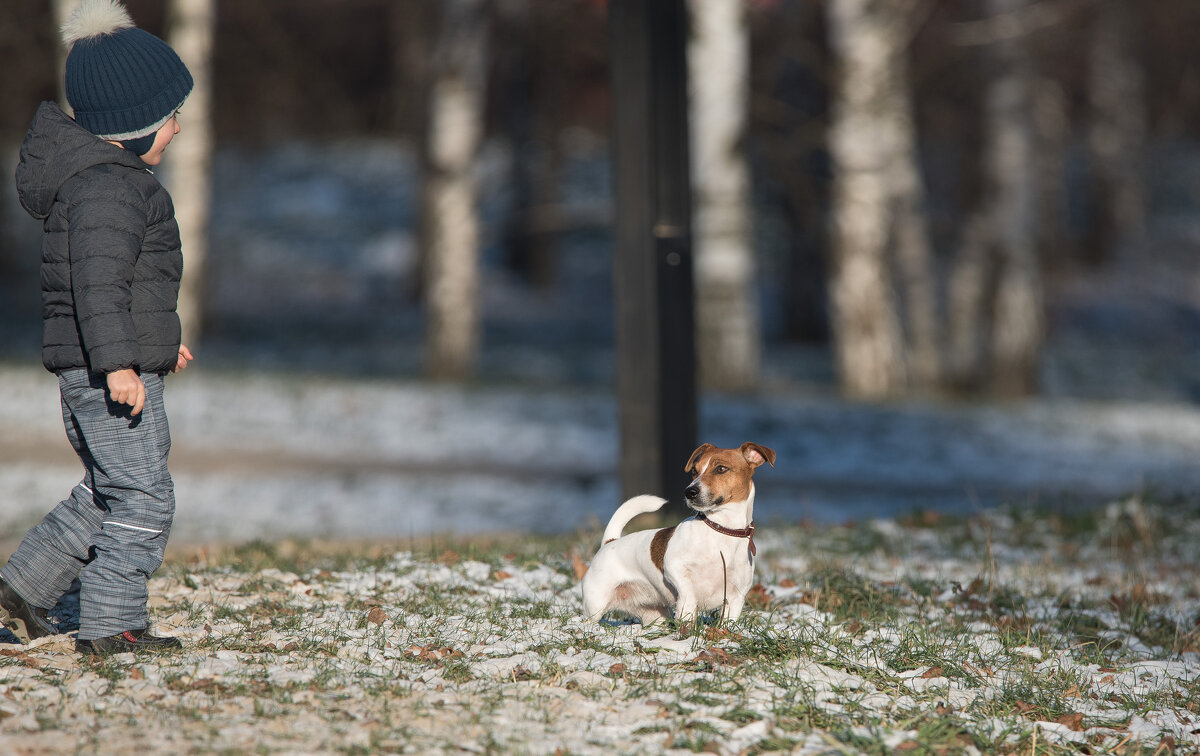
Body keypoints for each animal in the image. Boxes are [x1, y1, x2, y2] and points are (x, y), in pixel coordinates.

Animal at [580, 441, 777, 624]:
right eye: (694, 471)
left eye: (721, 469)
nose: (689, 491)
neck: (721, 529)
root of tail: (610, 542)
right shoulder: (674, 568)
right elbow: (688, 594)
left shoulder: (736, 596)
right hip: (596, 605)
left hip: (654, 614)